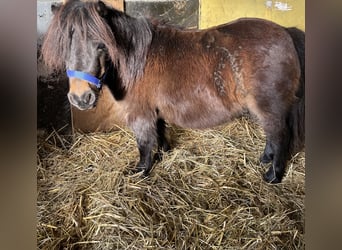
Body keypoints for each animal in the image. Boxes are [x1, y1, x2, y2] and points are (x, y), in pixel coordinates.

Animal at [41, 0, 306, 184]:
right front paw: (161, 155)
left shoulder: (140, 114)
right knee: (272, 135)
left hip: (269, 107)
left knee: (280, 136)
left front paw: (141, 170)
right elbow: (159, 134)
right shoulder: (154, 111)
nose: (81, 98)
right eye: (63, 46)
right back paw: (265, 160)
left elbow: (144, 143)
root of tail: (286, 33)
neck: (137, 60)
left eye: (101, 46)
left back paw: (273, 175)